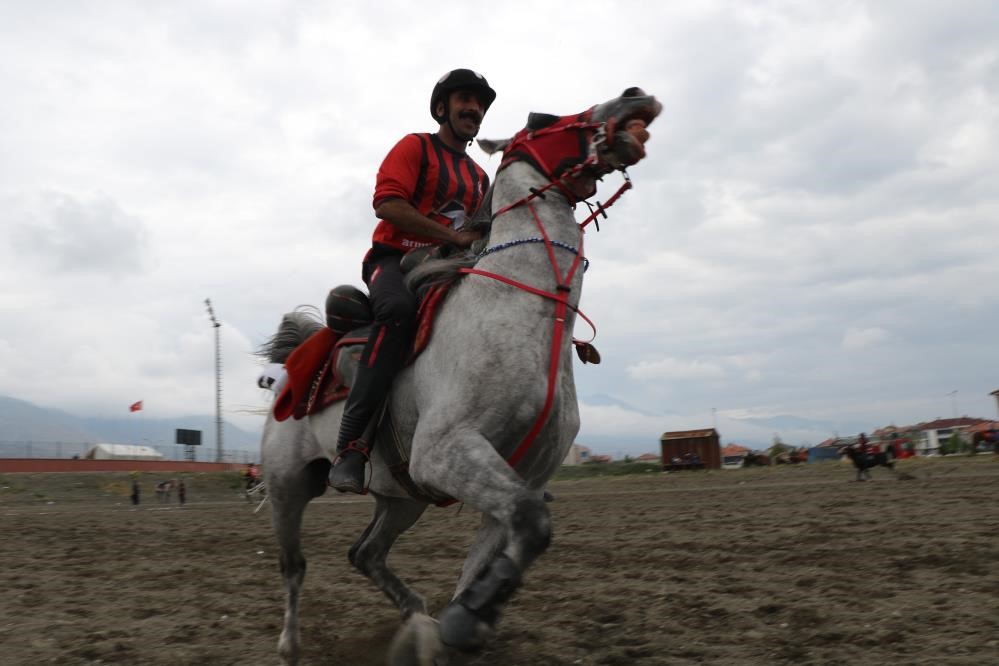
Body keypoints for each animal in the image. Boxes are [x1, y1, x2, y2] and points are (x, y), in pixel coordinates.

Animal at [262, 85, 660, 660]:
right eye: (543, 118)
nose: (635, 97)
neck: (524, 316)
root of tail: (290, 369)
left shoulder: (516, 478)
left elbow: (498, 553)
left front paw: (461, 622)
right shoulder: (449, 451)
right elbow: (533, 523)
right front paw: (467, 621)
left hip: (403, 498)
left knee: (365, 553)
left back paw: (417, 618)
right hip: (288, 488)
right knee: (294, 566)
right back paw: (291, 646)